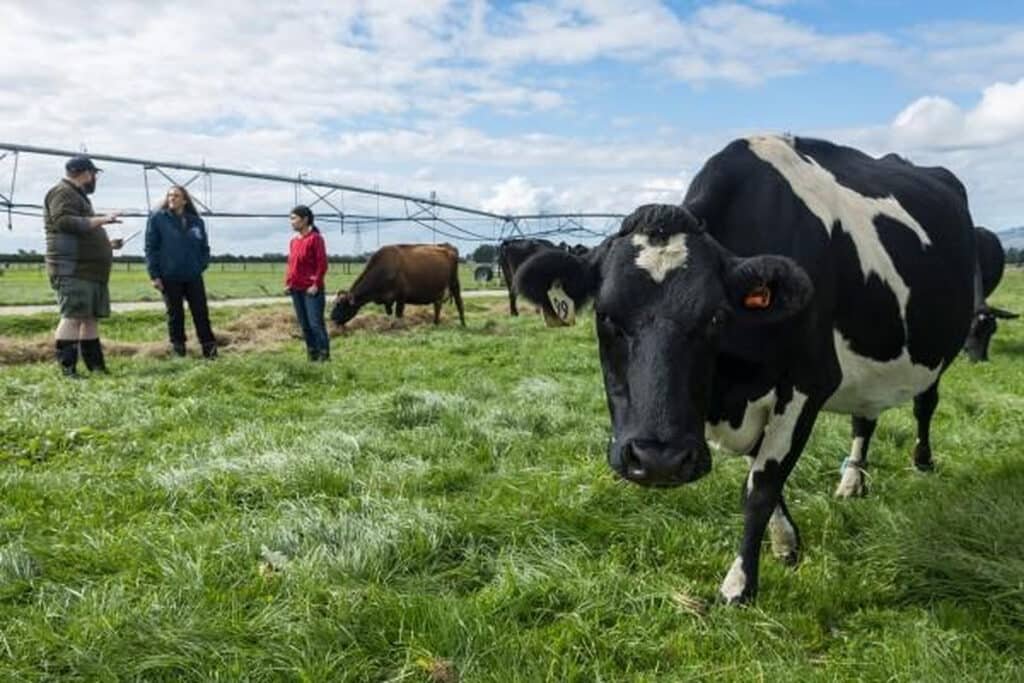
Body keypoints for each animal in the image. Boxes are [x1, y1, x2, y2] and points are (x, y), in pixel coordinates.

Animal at [330, 243, 465, 326]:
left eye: (340, 305)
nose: (332, 318)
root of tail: (447, 247)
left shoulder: (401, 297)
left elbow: (399, 314)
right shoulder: (387, 299)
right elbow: (389, 313)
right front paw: (389, 325)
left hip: (454, 282)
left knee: (459, 302)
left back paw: (463, 324)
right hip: (438, 289)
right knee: (437, 305)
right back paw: (435, 323)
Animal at [513, 135, 976, 603]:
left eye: (716, 316)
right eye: (605, 315)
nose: (659, 460)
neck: (729, 389)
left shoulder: (809, 381)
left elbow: (762, 485)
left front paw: (740, 583)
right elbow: (763, 472)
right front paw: (786, 542)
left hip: (943, 349)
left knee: (925, 405)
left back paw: (921, 462)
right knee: (864, 418)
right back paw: (851, 481)